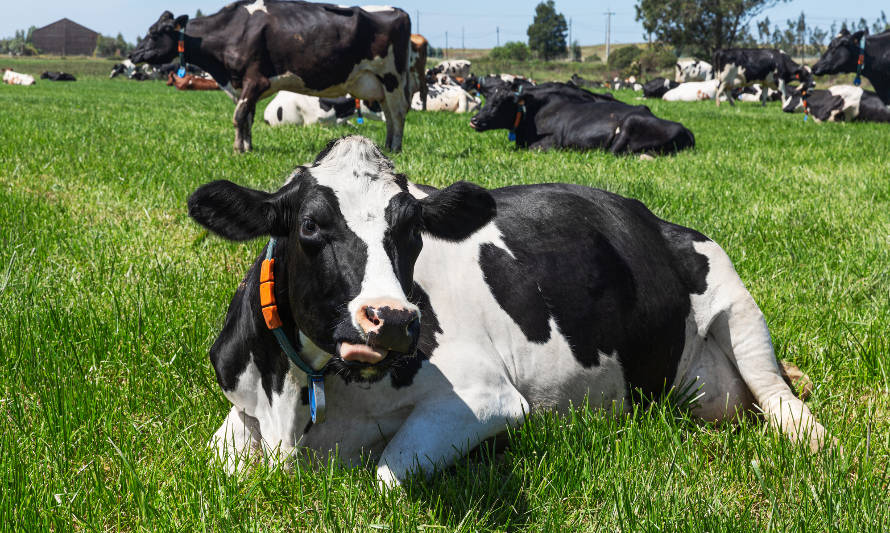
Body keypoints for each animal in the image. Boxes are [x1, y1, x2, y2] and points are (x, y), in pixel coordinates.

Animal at [130, 3, 412, 154]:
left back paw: (396, 148)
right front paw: (248, 147)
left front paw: (238, 150)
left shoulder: (255, 79)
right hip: (379, 84)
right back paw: (387, 146)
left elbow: (238, 116)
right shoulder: (246, 85)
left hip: (392, 78)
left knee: (398, 114)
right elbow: (247, 118)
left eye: (155, 32)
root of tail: (400, 11)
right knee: (389, 115)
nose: (134, 54)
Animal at [189, 134, 832, 486]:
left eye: (412, 226)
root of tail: (656, 219)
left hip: (735, 303)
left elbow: (386, 474)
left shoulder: (486, 398)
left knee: (785, 405)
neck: (295, 403)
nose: (392, 319)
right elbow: (219, 459)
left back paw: (817, 442)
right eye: (310, 225)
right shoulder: (240, 409)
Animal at [468, 83, 692, 154]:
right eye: (487, 99)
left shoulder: (550, 143)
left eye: (500, 102)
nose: (474, 120)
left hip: (630, 123)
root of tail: (685, 128)